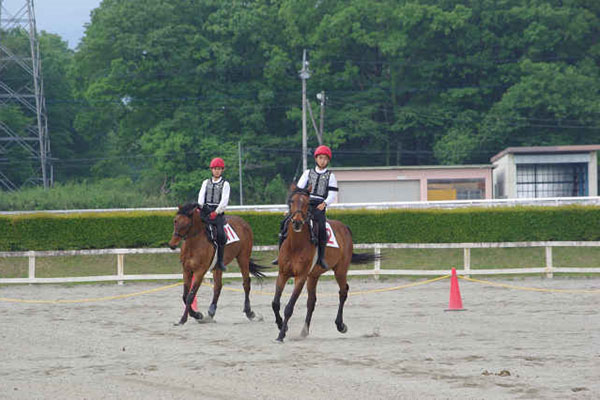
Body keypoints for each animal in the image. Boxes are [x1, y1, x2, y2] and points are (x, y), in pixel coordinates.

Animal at [272, 184, 378, 342]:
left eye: (306, 202)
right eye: (291, 201)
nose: (297, 222)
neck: (295, 245)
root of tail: (344, 228)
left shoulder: (300, 277)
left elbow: (289, 307)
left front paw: (281, 334)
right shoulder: (283, 274)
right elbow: (275, 303)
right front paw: (280, 326)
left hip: (340, 270)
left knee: (343, 291)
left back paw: (340, 325)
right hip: (313, 276)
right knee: (311, 301)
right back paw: (304, 331)